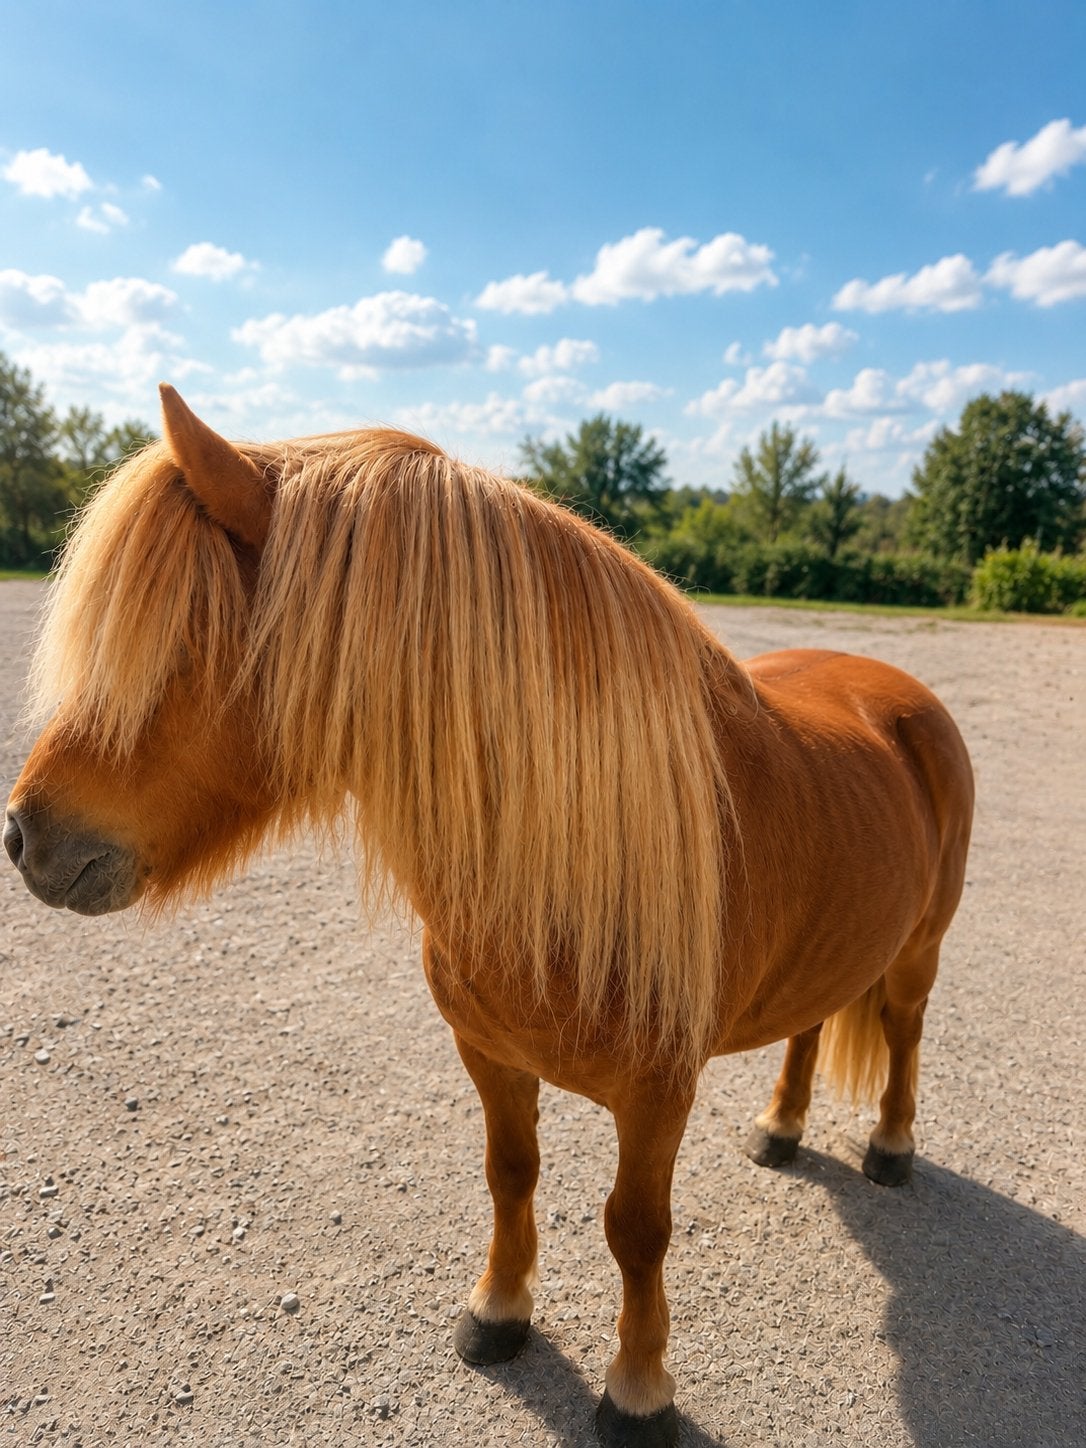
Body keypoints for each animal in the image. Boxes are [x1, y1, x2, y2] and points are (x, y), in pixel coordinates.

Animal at [4, 385, 974, 1448]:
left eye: (181, 639)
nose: (22, 833)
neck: (576, 856)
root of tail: (901, 695)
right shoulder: (490, 1055)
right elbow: (511, 1173)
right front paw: (498, 1314)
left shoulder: (659, 1096)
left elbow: (637, 1231)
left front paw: (638, 1392)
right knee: (810, 1027)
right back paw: (782, 1128)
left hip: (919, 953)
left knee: (904, 1033)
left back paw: (889, 1150)